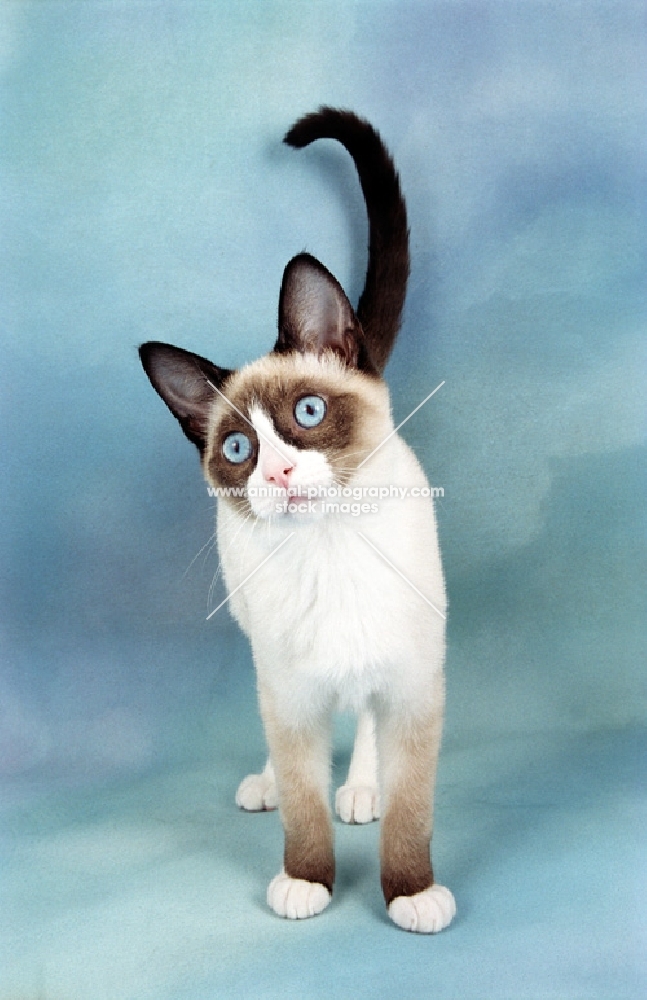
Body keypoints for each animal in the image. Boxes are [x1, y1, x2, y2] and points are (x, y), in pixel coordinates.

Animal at [140, 111, 456, 936]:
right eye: (238, 450)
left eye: (307, 413)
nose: (278, 474)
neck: (327, 550)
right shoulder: (285, 689)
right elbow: (302, 805)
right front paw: (306, 880)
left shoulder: (413, 685)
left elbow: (410, 812)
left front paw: (410, 893)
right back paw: (271, 784)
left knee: (366, 723)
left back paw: (362, 789)